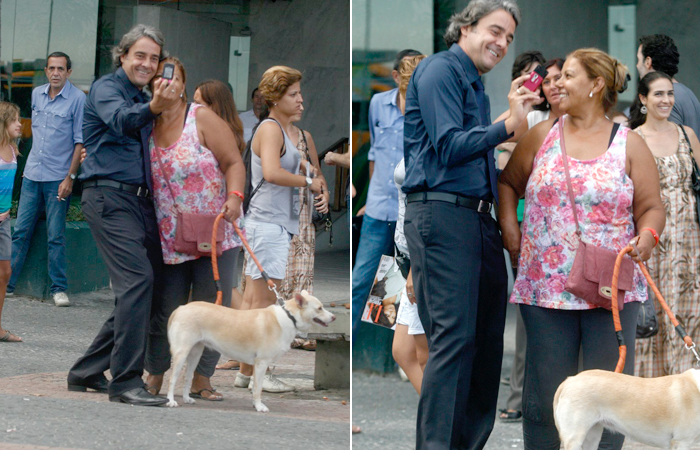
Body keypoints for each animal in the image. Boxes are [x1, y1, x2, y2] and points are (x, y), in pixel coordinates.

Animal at [167, 290, 336, 414]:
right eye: (319, 308)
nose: (334, 317)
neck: (289, 317)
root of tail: (181, 308)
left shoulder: (258, 365)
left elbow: (255, 387)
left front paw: (256, 405)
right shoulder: (262, 363)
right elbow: (258, 389)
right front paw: (260, 406)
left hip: (195, 354)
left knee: (187, 377)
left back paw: (186, 398)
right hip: (182, 353)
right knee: (172, 379)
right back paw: (171, 401)